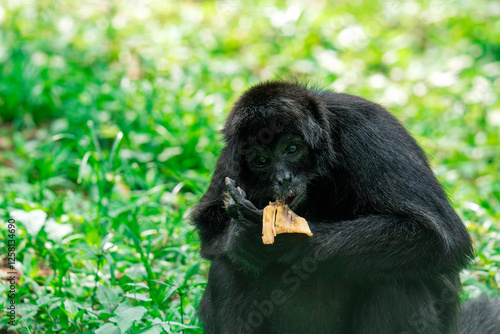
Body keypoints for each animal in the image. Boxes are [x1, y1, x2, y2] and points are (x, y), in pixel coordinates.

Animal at [192, 81, 500, 334]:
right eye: (260, 161)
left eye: (291, 149)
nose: (283, 178)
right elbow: (208, 227)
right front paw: (242, 238)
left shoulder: (365, 129)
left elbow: (442, 236)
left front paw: (292, 242)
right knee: (226, 270)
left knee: (397, 282)